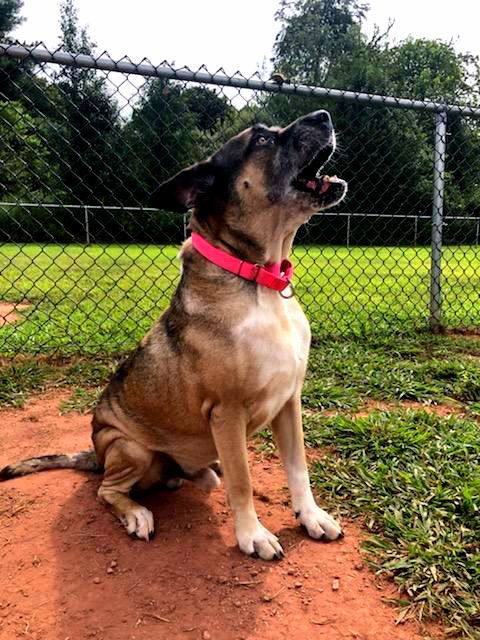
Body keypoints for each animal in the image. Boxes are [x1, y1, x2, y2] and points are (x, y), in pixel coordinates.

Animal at [0, 111, 346, 560]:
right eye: (261, 140)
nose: (324, 116)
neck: (258, 279)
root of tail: (96, 454)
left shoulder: (289, 401)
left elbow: (298, 467)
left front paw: (311, 516)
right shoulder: (227, 411)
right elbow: (243, 480)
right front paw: (252, 535)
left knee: (196, 476)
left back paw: (193, 474)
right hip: (128, 447)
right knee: (107, 490)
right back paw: (136, 514)